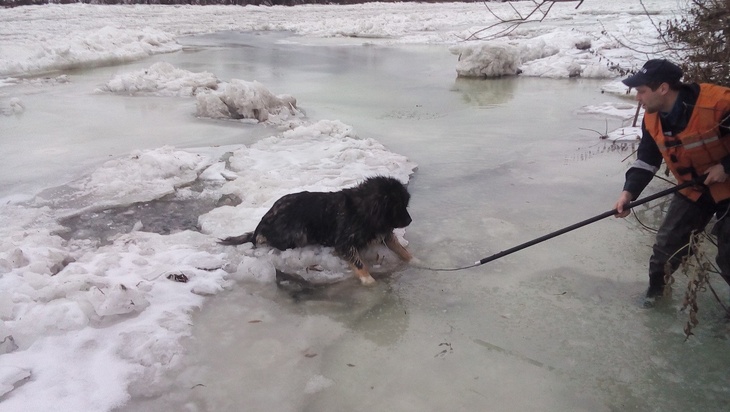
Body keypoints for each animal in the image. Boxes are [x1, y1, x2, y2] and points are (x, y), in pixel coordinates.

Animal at [219, 175, 412, 284]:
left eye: (405, 204)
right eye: (398, 206)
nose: (410, 220)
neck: (364, 209)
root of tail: (260, 225)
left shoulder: (385, 233)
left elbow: (403, 250)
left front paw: (415, 261)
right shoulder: (344, 242)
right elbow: (359, 263)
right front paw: (369, 281)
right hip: (299, 233)